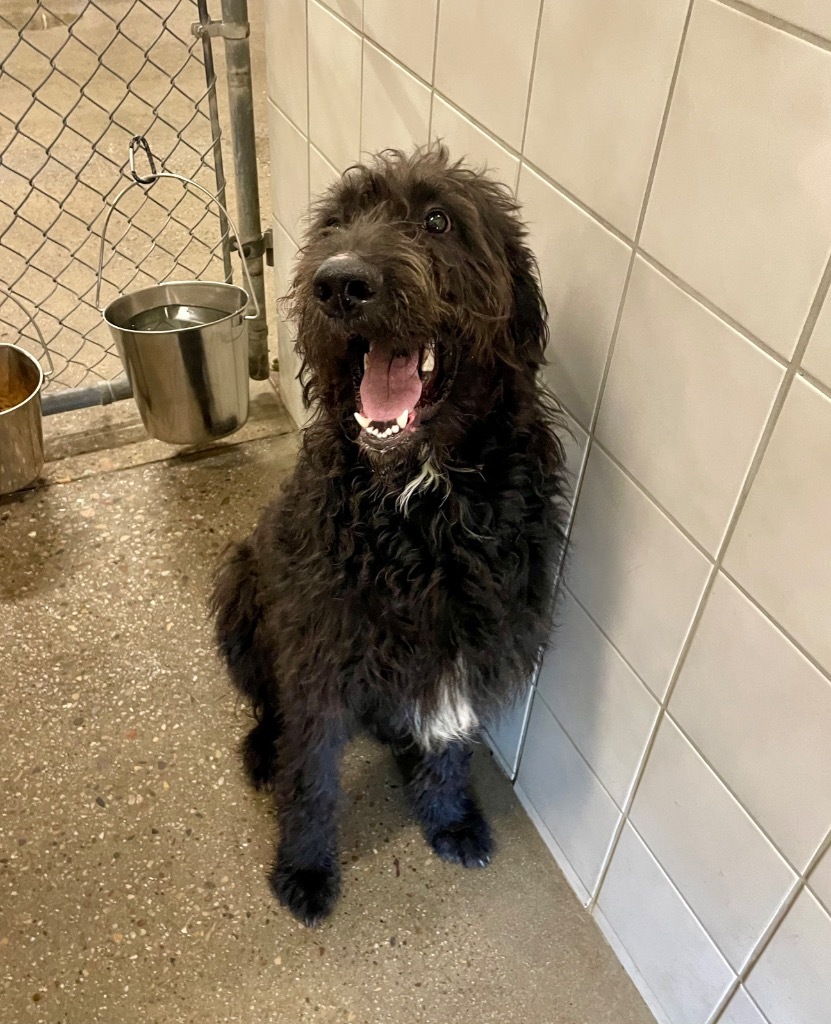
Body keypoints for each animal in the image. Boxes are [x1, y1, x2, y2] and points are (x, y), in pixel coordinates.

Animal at [210, 146, 569, 929]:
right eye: (337, 221)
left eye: (437, 220)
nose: (339, 283)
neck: (418, 496)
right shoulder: (319, 648)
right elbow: (312, 776)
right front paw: (306, 868)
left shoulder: (477, 632)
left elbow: (450, 744)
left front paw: (449, 817)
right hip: (241, 584)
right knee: (269, 704)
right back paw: (264, 747)